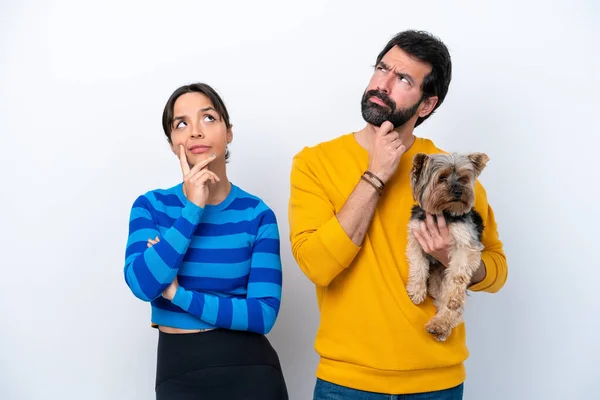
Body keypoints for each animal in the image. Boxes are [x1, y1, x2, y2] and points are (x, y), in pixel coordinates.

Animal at [406, 152, 490, 340]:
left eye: (464, 178)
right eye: (442, 177)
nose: (458, 191)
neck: (443, 213)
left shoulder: (465, 244)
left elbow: (458, 276)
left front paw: (453, 299)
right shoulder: (416, 237)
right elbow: (417, 265)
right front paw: (416, 291)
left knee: (452, 307)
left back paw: (440, 325)